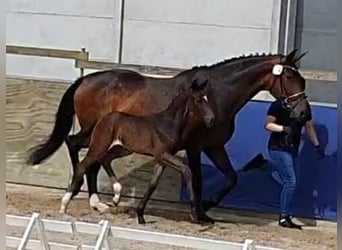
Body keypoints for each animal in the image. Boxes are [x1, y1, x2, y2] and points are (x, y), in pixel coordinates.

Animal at [58, 77, 214, 224]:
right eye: (198, 100)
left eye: (207, 98)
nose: (211, 119)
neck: (167, 124)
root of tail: (103, 118)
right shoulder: (163, 154)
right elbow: (186, 170)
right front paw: (194, 213)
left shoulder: (161, 159)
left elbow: (152, 185)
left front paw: (140, 216)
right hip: (100, 145)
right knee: (83, 165)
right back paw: (64, 206)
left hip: (122, 149)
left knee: (105, 159)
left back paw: (115, 197)